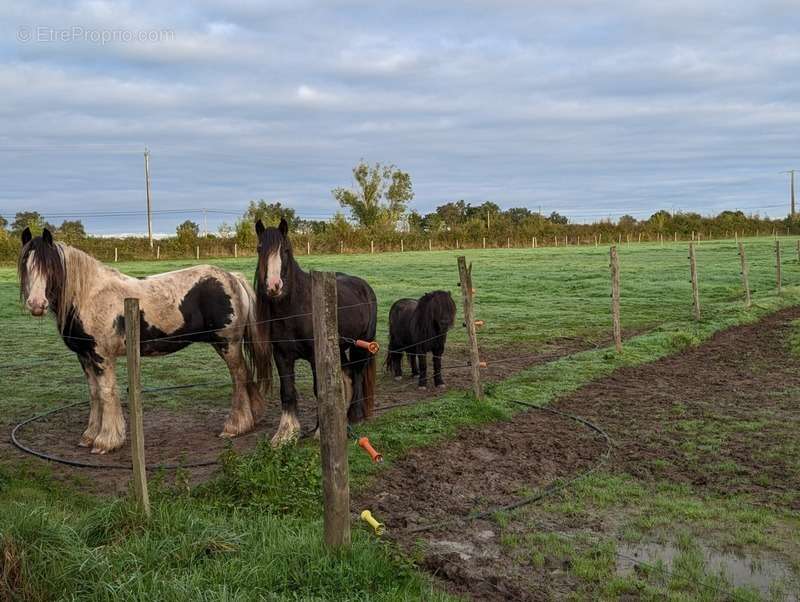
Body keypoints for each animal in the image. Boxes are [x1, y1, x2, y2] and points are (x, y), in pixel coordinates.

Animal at [17, 227, 268, 452]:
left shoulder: (101, 356)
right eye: (26, 266)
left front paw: (106, 441)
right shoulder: (84, 356)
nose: (36, 304)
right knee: (245, 376)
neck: (90, 296)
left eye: (50, 267)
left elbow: (107, 393)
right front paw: (89, 436)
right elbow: (94, 393)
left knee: (239, 378)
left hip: (228, 345)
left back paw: (234, 427)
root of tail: (233, 278)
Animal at [256, 218, 382, 442]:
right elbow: (287, 391)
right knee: (347, 374)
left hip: (362, 345)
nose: (274, 286)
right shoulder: (281, 355)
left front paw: (318, 431)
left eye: (285, 250)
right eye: (259, 248)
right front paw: (285, 434)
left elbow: (319, 390)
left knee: (357, 373)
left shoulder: (316, 356)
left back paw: (355, 416)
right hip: (340, 347)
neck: (294, 309)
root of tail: (364, 286)